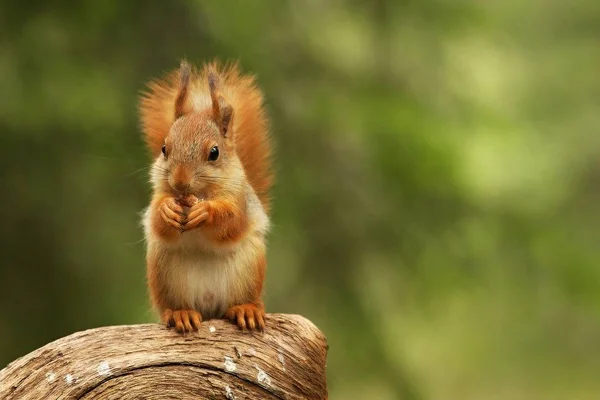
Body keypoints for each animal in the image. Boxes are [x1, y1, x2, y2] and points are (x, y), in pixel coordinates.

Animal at [138, 59, 272, 332]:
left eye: (214, 152)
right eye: (164, 148)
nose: (180, 182)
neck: (200, 193)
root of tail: (209, 306)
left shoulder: (239, 199)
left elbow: (232, 221)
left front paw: (205, 211)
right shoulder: (158, 193)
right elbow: (156, 220)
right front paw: (167, 209)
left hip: (249, 266)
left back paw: (246, 309)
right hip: (165, 272)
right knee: (174, 306)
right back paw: (181, 313)